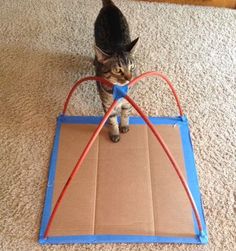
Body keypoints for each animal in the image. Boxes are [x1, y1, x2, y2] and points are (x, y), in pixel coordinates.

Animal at [94, 0, 138, 142]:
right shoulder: (107, 105)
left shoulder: (127, 102)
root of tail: (109, 5)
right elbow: (112, 120)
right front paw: (114, 133)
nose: (129, 78)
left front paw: (124, 126)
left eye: (132, 67)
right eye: (118, 70)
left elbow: (125, 113)